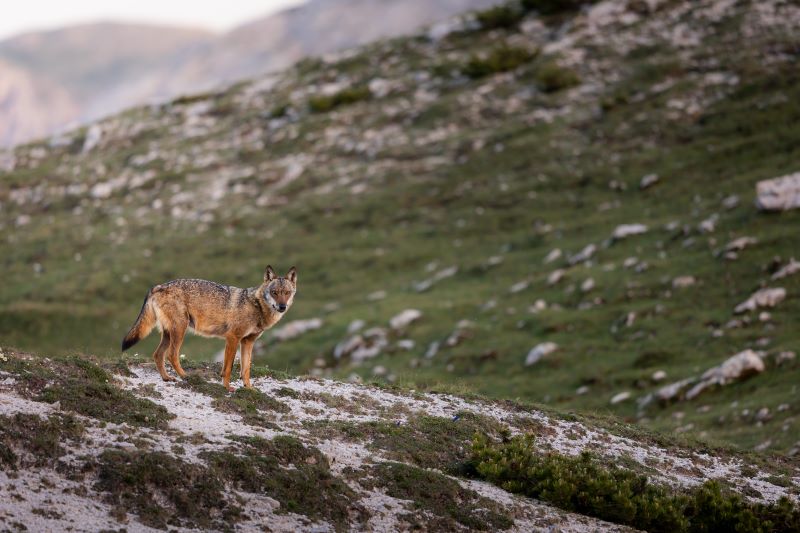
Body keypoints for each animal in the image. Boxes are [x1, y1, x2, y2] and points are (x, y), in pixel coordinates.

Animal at [119, 264, 294, 388]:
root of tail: (158, 286)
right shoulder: (233, 338)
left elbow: (246, 370)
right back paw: (185, 376)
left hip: (169, 333)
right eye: (275, 292)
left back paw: (167, 378)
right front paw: (227, 388)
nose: (282, 307)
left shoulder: (248, 342)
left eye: (287, 293)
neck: (256, 306)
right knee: (171, 355)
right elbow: (228, 368)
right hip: (180, 330)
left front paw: (249, 390)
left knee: (158, 355)